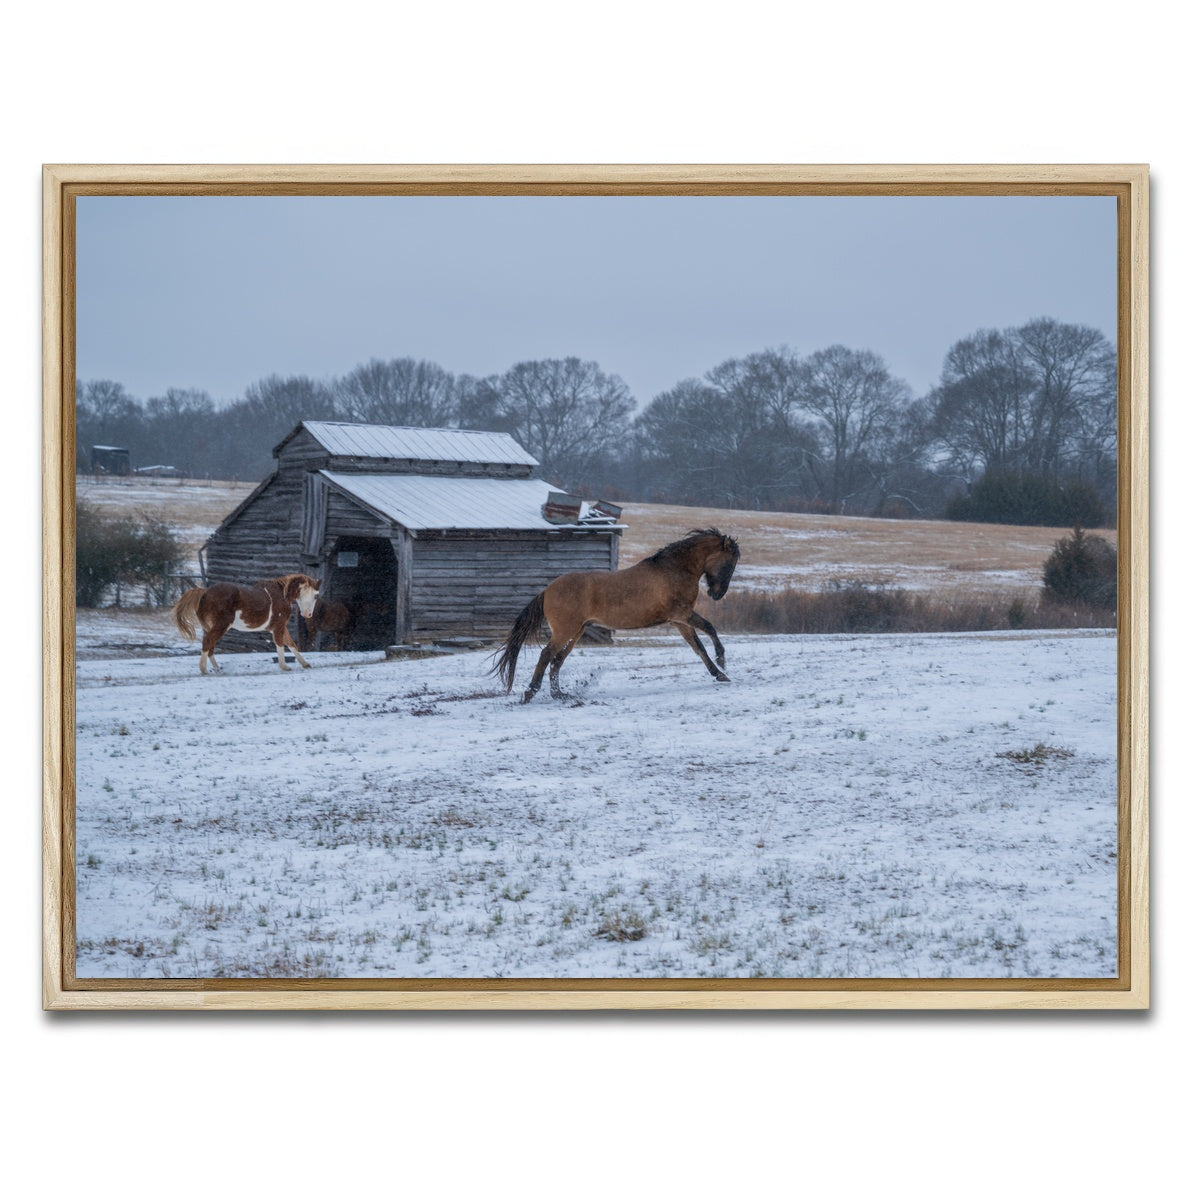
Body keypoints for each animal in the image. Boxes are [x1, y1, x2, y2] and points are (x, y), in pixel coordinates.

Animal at [172, 573, 321, 675]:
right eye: (316, 596)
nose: (308, 615)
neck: (282, 595)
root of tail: (205, 592)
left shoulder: (280, 627)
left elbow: (291, 644)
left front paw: (305, 664)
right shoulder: (278, 626)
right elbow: (280, 644)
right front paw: (284, 666)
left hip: (210, 627)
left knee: (210, 645)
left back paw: (217, 668)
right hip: (221, 626)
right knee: (208, 642)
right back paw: (204, 669)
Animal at [492, 528, 740, 703]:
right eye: (729, 563)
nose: (717, 594)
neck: (674, 570)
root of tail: (547, 590)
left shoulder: (679, 621)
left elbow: (698, 647)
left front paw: (719, 674)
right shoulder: (682, 614)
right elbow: (709, 628)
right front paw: (722, 661)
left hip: (576, 631)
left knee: (557, 660)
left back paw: (559, 695)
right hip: (565, 631)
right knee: (547, 655)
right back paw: (530, 693)